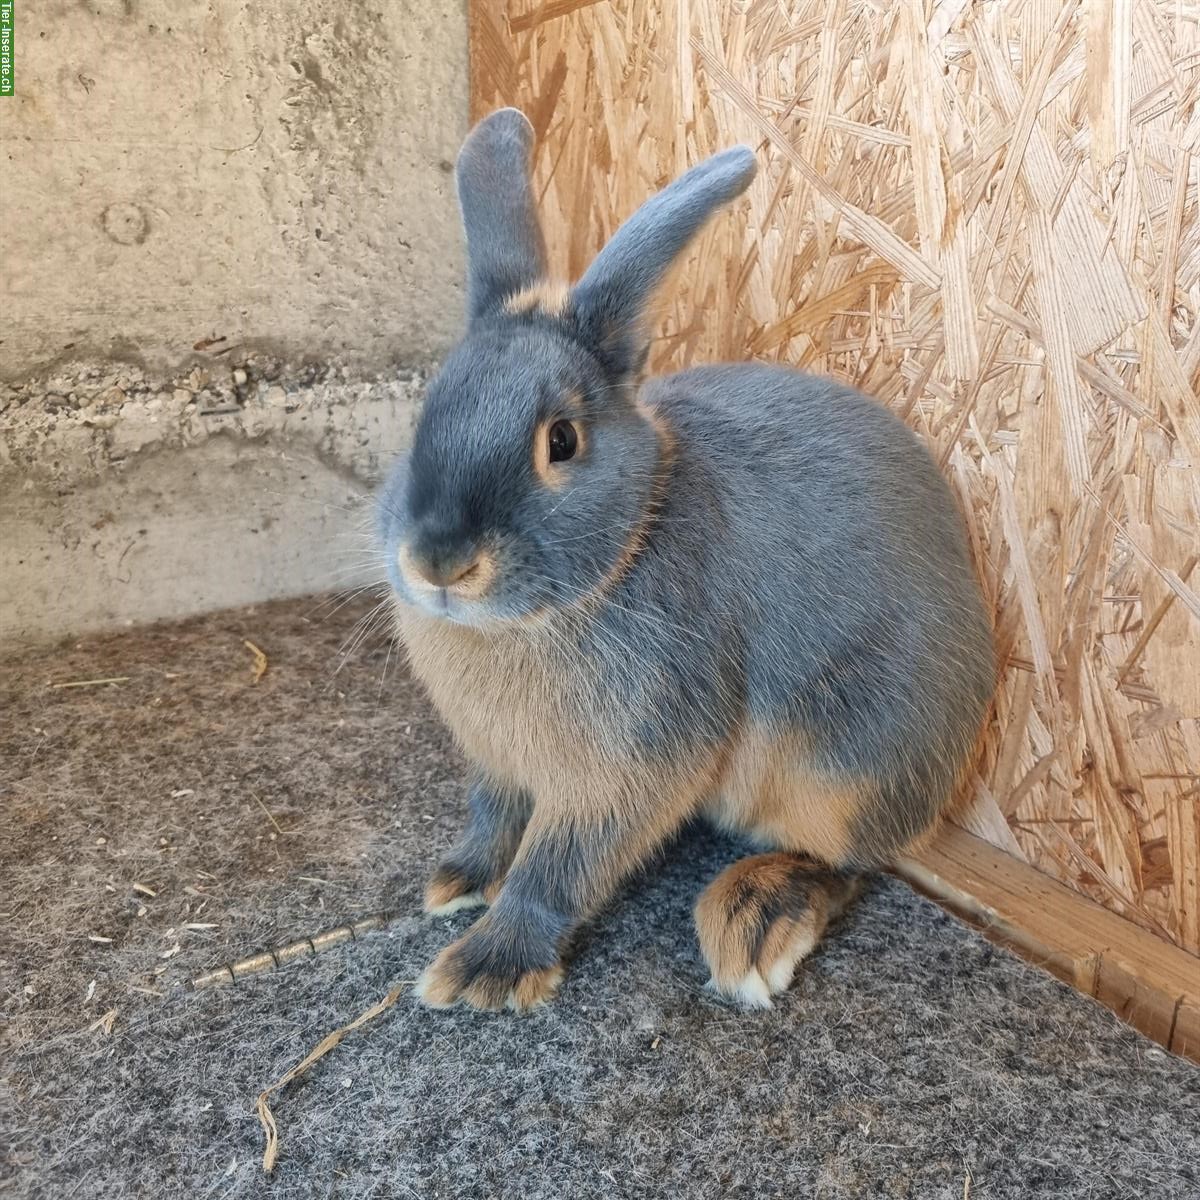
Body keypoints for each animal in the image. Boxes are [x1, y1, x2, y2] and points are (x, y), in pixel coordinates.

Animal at [374, 110, 993, 1012]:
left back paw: (756, 919)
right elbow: (494, 821)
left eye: (562, 441)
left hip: (844, 764)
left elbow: (556, 869)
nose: (440, 563)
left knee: (851, 861)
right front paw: (458, 880)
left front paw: (488, 967)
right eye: (427, 411)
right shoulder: (501, 763)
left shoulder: (632, 763)